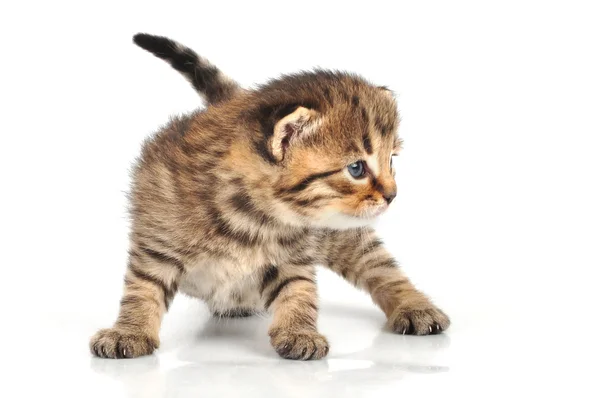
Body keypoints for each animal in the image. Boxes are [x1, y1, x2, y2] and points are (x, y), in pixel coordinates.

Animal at [86, 32, 448, 360]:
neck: (248, 216)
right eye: (356, 168)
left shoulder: (293, 255)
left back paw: (415, 307)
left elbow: (298, 290)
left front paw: (299, 331)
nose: (393, 194)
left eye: (391, 161)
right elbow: (142, 288)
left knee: (380, 266)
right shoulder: (157, 240)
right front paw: (129, 331)